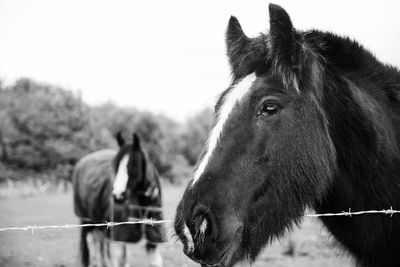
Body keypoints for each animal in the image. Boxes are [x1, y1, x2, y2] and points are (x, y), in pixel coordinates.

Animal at [73, 134, 166, 267]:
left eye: (134, 165)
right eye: (116, 164)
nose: (118, 195)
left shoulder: (153, 236)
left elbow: (154, 262)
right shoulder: (119, 234)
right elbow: (119, 258)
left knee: (99, 240)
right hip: (87, 220)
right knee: (92, 242)